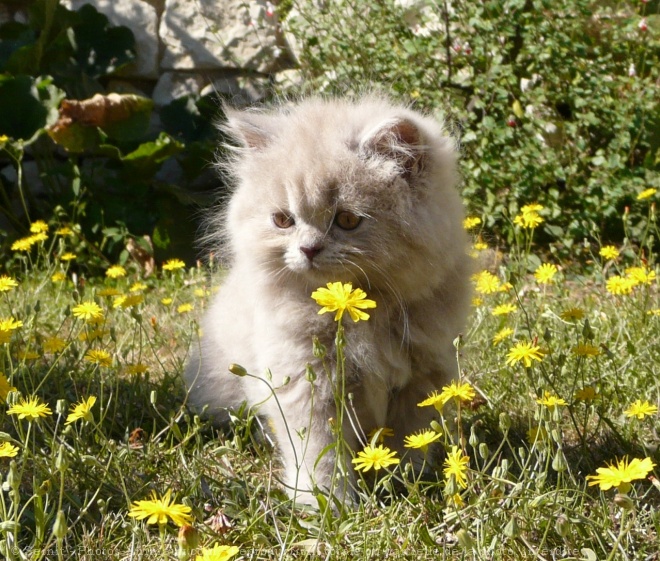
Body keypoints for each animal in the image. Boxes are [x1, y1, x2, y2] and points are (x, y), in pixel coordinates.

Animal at [186, 94, 472, 506]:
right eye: (283, 220)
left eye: (348, 220)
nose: (308, 249)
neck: (364, 318)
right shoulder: (305, 383)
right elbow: (319, 454)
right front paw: (328, 504)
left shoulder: (422, 377)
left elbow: (410, 442)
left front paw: (402, 486)